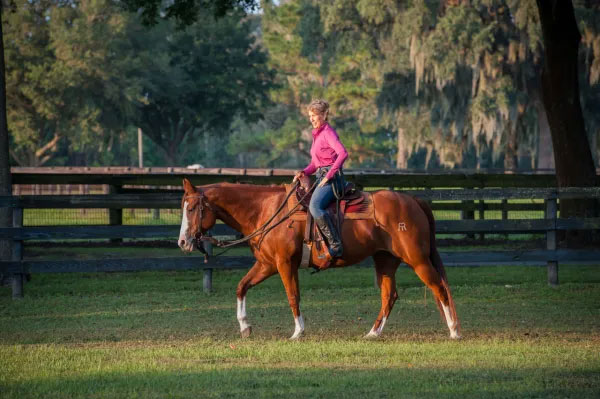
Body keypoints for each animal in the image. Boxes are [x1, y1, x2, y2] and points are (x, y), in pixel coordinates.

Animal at [177, 180, 460, 340]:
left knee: (440, 288)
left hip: (417, 259)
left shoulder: (284, 264)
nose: (182, 242)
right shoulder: (267, 264)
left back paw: (454, 330)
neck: (266, 211)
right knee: (389, 296)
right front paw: (245, 327)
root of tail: (413, 199)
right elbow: (241, 287)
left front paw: (297, 332)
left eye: (191, 208)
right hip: (385, 260)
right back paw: (373, 333)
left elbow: (293, 296)